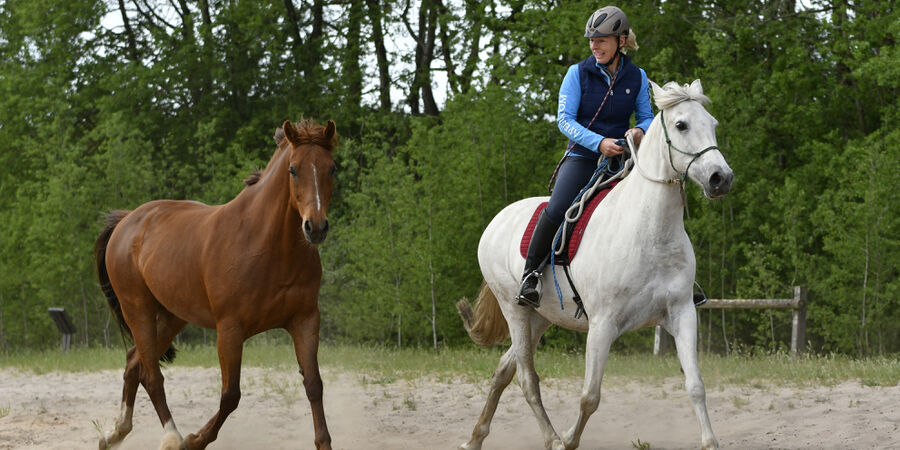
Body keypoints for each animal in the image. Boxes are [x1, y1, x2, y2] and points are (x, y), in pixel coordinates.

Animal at [95, 118, 340, 448]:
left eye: (331, 168)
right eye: (293, 169)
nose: (315, 227)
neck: (269, 246)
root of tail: (126, 220)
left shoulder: (305, 321)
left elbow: (314, 384)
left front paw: (324, 442)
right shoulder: (230, 329)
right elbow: (230, 395)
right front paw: (195, 439)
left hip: (172, 315)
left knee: (134, 361)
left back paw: (115, 433)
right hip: (138, 309)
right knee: (151, 374)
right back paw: (173, 437)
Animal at [458, 81, 732, 450]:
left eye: (713, 124)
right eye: (681, 125)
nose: (721, 178)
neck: (650, 233)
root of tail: (497, 222)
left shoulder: (683, 314)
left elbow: (696, 386)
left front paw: (710, 441)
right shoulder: (603, 326)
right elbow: (590, 396)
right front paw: (568, 440)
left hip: (540, 319)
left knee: (504, 370)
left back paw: (476, 438)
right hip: (515, 311)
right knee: (528, 381)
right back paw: (551, 438)